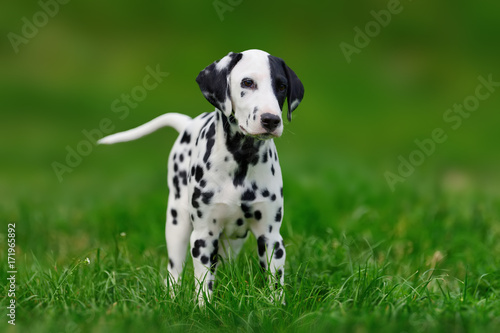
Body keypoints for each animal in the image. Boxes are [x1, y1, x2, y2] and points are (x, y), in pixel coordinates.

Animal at [98, 48, 304, 300]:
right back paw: (172, 297)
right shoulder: (203, 237)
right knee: (174, 270)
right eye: (247, 82)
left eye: (282, 86)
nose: (271, 120)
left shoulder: (271, 237)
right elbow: (203, 284)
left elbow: (275, 283)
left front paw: (275, 306)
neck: (241, 160)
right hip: (177, 223)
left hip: (233, 240)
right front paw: (203, 307)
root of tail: (187, 124)